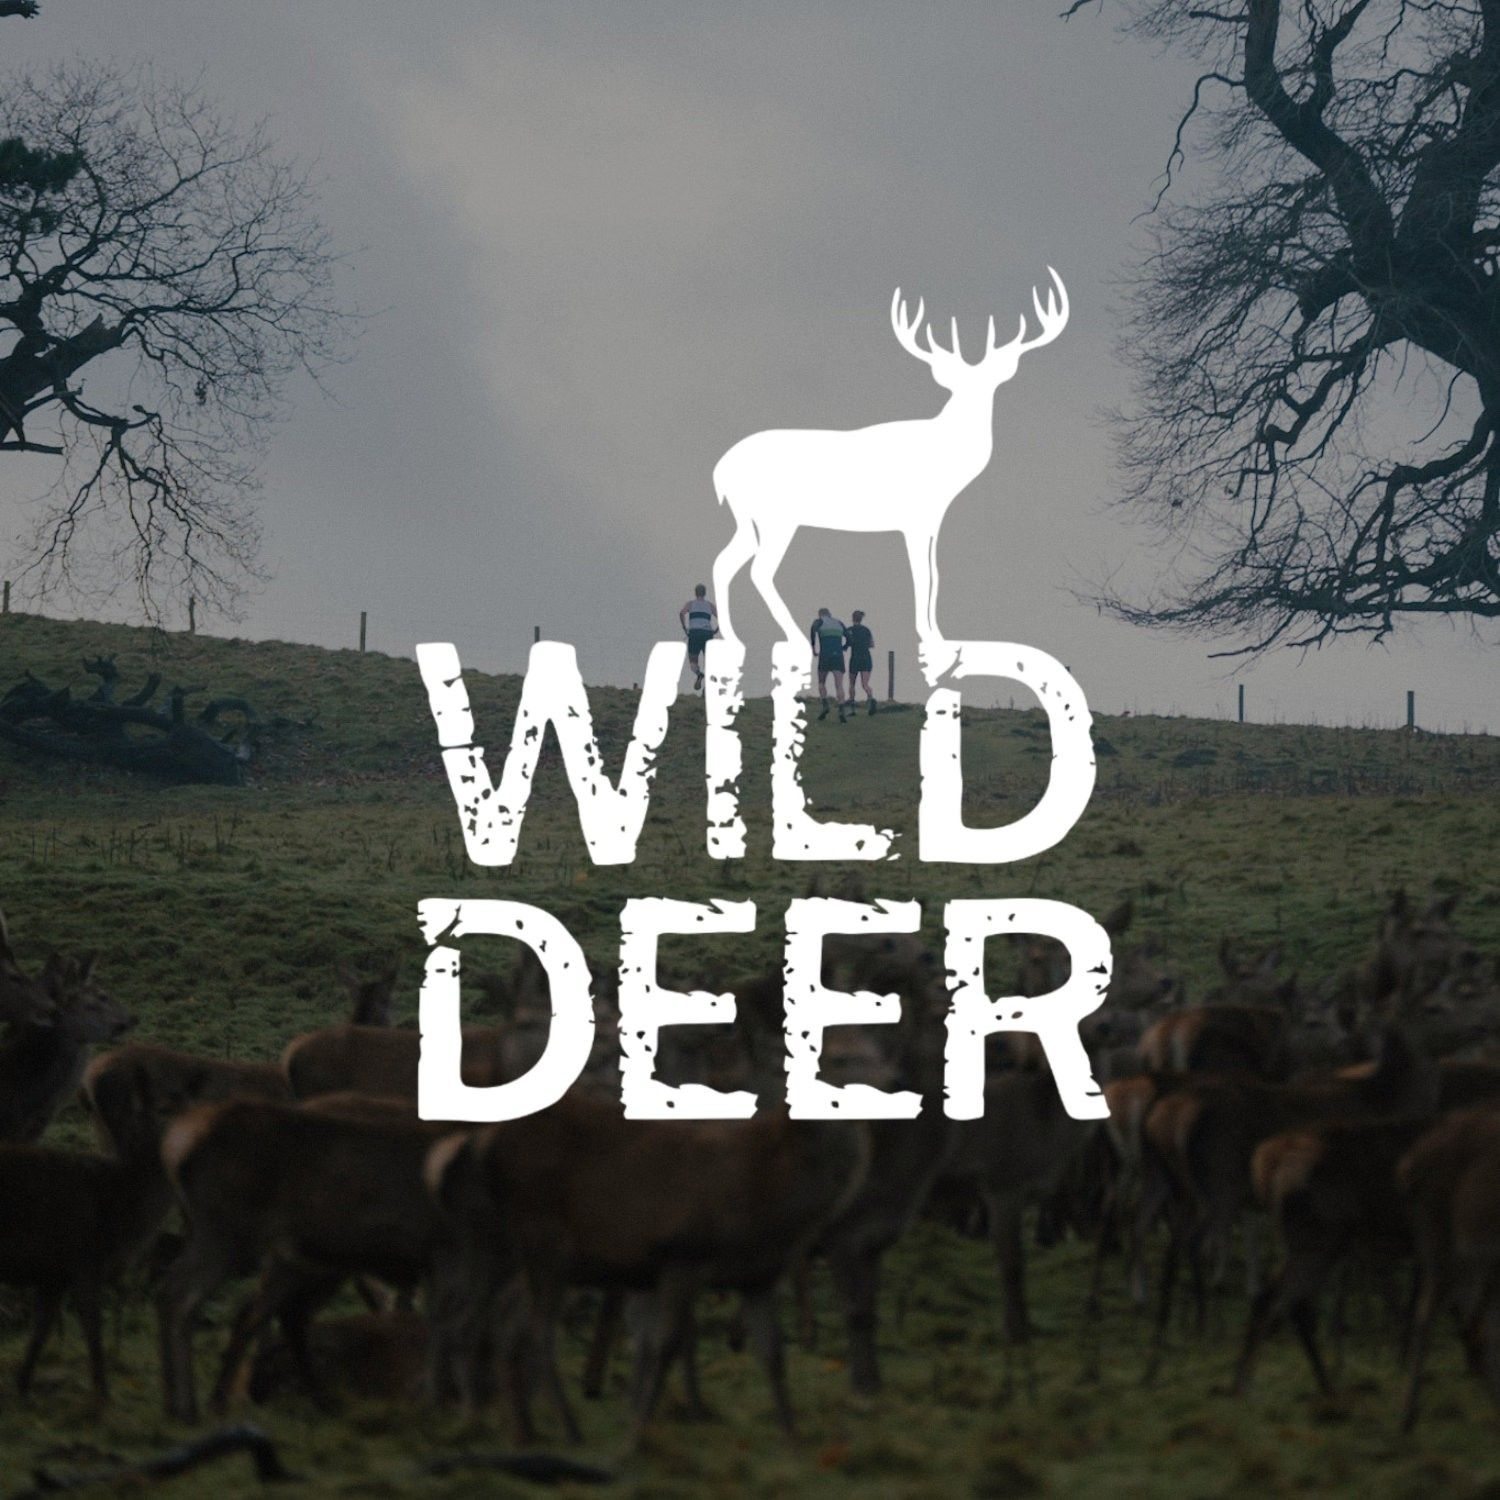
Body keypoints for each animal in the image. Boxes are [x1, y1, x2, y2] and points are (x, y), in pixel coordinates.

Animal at [711, 272, 1067, 680]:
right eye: (957, 384)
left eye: (990, 382)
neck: (946, 460)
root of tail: (720, 469)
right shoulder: (913, 518)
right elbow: (922, 577)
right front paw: (930, 641)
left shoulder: (933, 519)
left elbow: (936, 575)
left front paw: (941, 637)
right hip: (775, 516)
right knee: (759, 570)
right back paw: (793, 640)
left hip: (747, 518)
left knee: (724, 562)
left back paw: (732, 639)